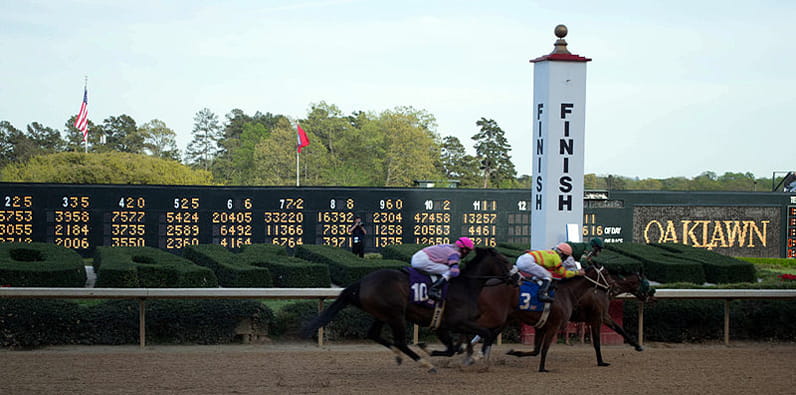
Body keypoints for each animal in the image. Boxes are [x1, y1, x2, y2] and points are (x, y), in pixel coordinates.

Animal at [302, 249, 512, 372]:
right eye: (505, 261)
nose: (516, 276)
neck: (465, 286)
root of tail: (362, 281)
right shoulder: (455, 322)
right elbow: (481, 335)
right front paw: (479, 357)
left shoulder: (446, 325)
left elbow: (456, 346)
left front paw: (465, 355)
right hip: (396, 315)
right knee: (400, 342)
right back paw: (425, 364)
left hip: (382, 314)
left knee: (374, 334)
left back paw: (399, 355)